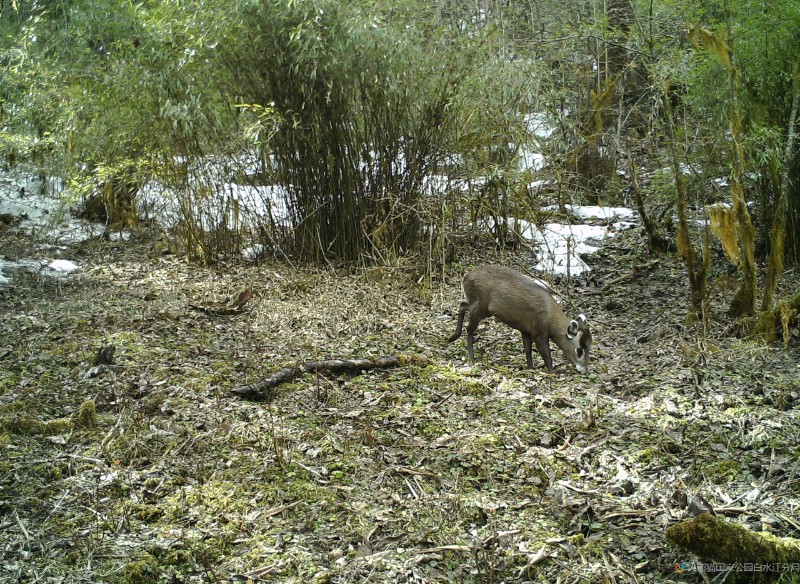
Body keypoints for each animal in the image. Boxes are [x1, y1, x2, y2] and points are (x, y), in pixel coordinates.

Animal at [446, 266, 592, 374]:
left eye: (590, 345)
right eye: (579, 350)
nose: (584, 370)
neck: (550, 319)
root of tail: (465, 276)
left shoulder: (525, 330)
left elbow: (527, 350)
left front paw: (530, 368)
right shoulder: (539, 332)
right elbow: (546, 355)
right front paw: (551, 372)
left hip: (479, 306)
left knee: (462, 305)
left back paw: (452, 337)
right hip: (481, 307)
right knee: (469, 329)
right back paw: (472, 358)